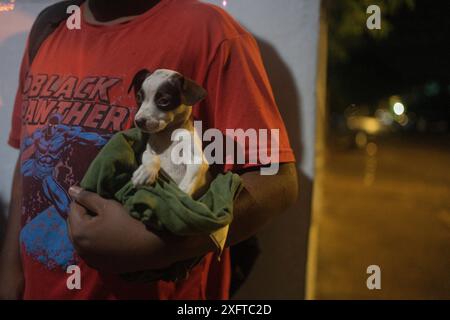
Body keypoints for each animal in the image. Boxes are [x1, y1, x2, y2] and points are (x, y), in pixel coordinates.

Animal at [127, 69, 210, 198]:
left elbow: (187, 184)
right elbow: (151, 157)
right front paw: (146, 171)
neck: (167, 134)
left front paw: (181, 195)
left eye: (164, 101)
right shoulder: (147, 151)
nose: (138, 121)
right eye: (139, 97)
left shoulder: (198, 160)